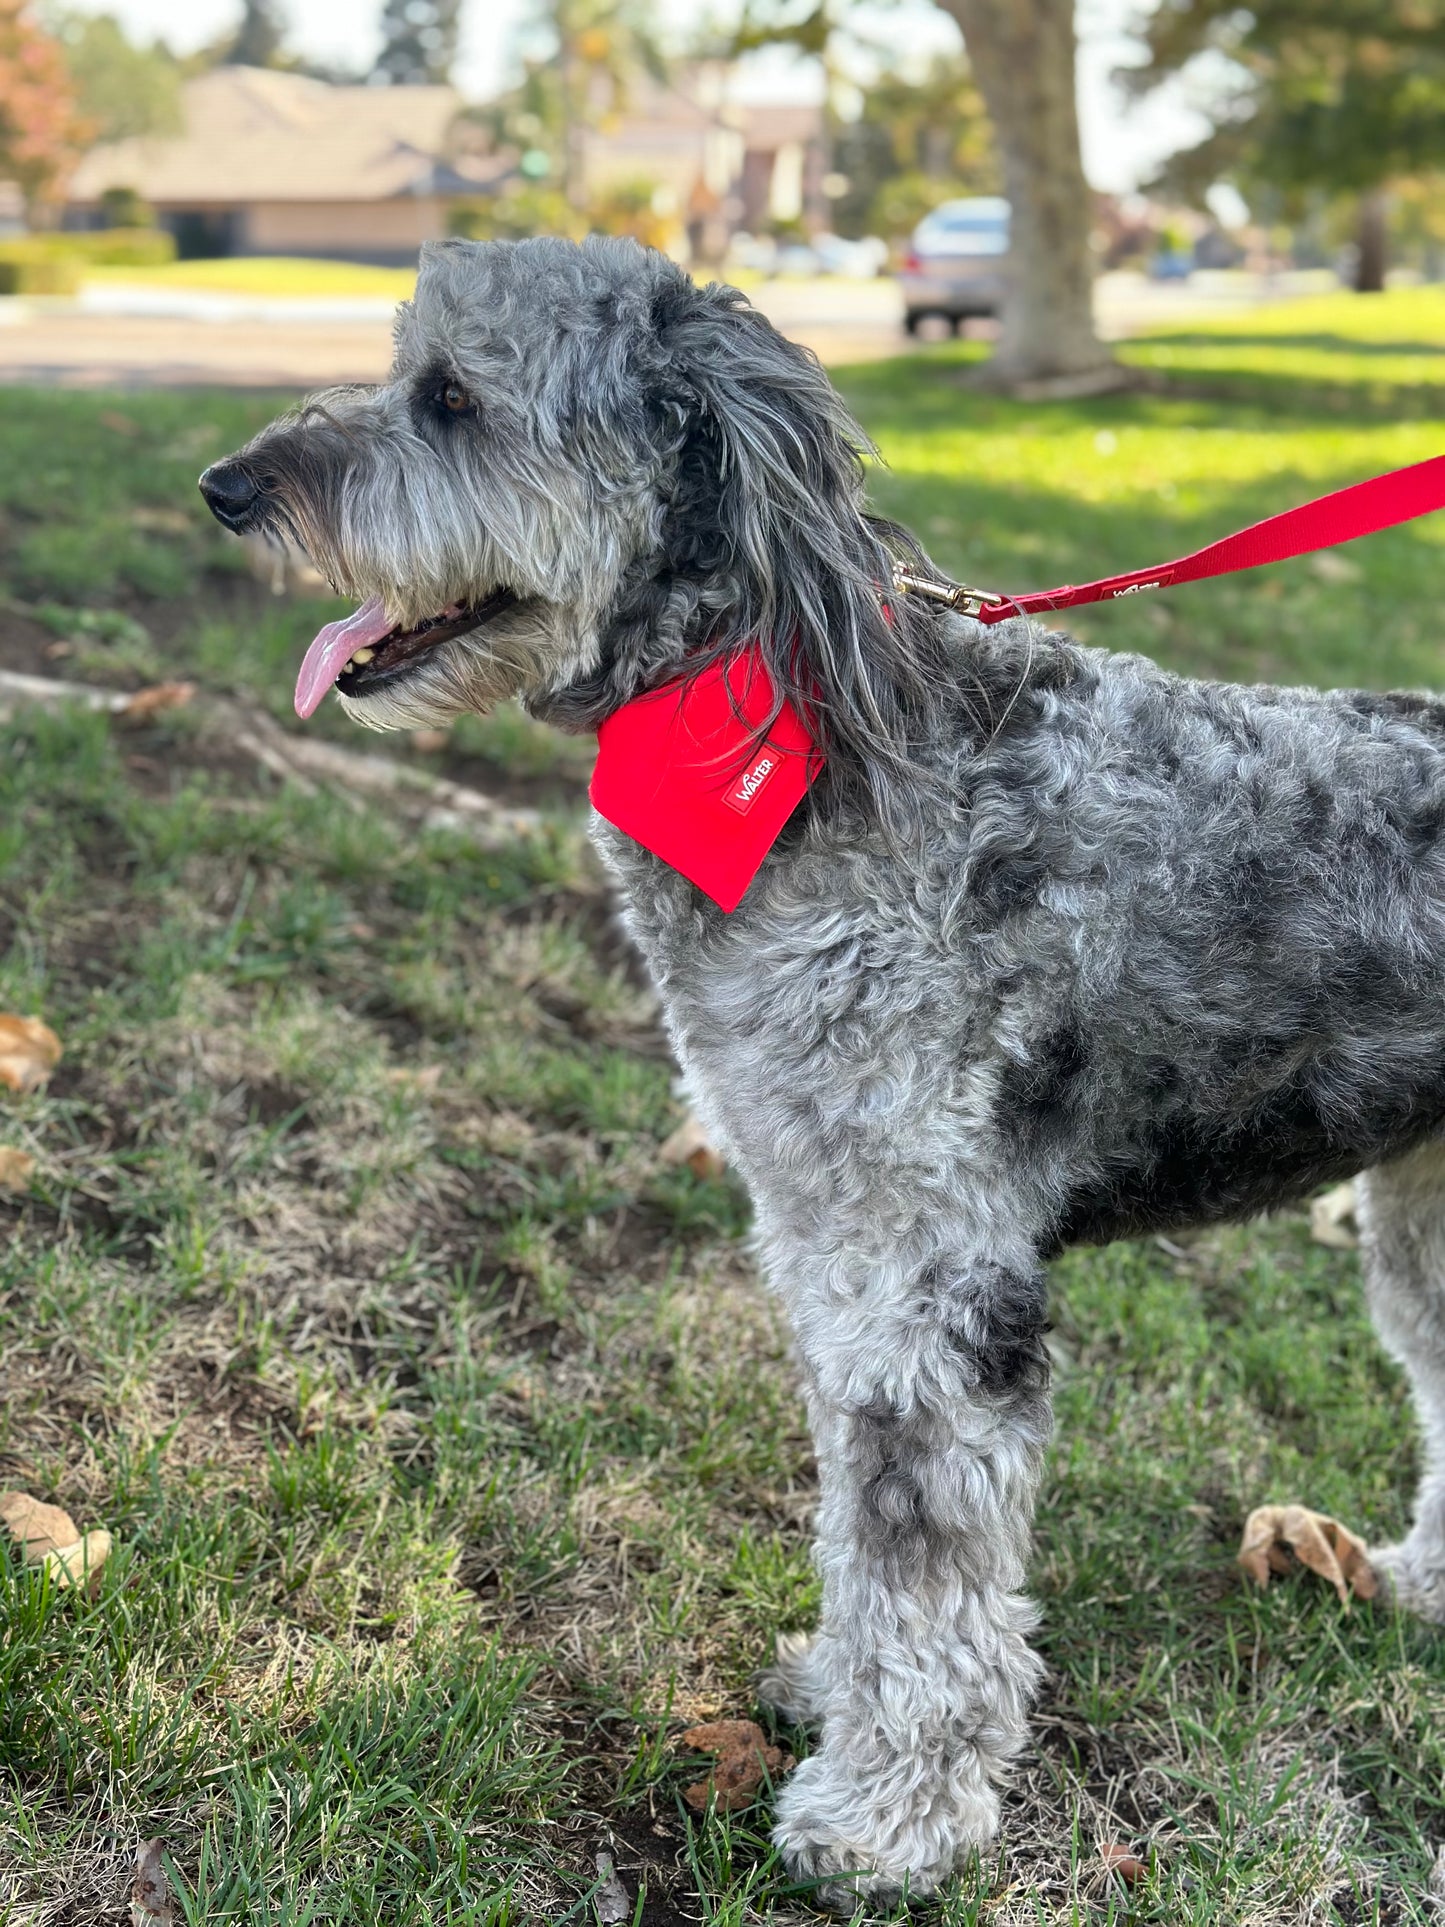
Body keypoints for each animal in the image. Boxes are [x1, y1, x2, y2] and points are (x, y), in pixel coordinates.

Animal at [201, 233, 1445, 1903]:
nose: (225, 487)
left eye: (452, 397)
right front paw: (832, 1692)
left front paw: (886, 1814)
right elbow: (863, 1539)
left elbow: (924, 1564)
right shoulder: (821, 1233)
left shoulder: (928, 1279)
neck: (772, 725)